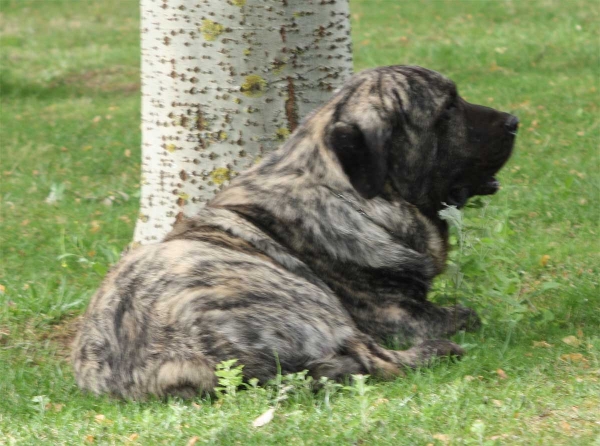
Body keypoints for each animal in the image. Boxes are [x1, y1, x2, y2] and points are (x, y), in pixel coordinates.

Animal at [74, 66, 516, 400]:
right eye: (448, 108)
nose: (514, 121)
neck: (343, 190)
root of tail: (183, 365)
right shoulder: (396, 316)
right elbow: (466, 314)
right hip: (316, 305)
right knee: (377, 362)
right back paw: (438, 352)